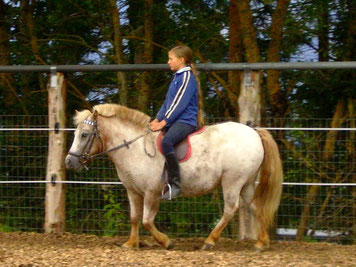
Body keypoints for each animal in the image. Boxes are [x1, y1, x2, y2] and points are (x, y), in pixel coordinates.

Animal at [65, 103, 282, 252]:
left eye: (84, 135)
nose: (69, 162)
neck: (134, 147)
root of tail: (254, 132)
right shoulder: (133, 191)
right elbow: (134, 218)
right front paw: (131, 243)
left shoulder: (152, 192)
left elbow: (147, 220)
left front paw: (166, 242)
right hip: (246, 183)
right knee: (254, 207)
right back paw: (262, 243)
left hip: (232, 182)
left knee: (230, 209)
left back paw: (209, 241)